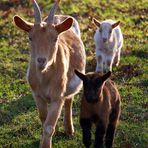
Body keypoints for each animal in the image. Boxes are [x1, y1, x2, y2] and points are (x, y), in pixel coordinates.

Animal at [13, 0, 86, 147]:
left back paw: (69, 130)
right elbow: (43, 119)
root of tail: (61, 16)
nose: (41, 60)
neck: (45, 78)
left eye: (55, 38)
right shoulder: (37, 95)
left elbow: (48, 127)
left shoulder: (57, 97)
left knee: (69, 100)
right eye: (30, 38)